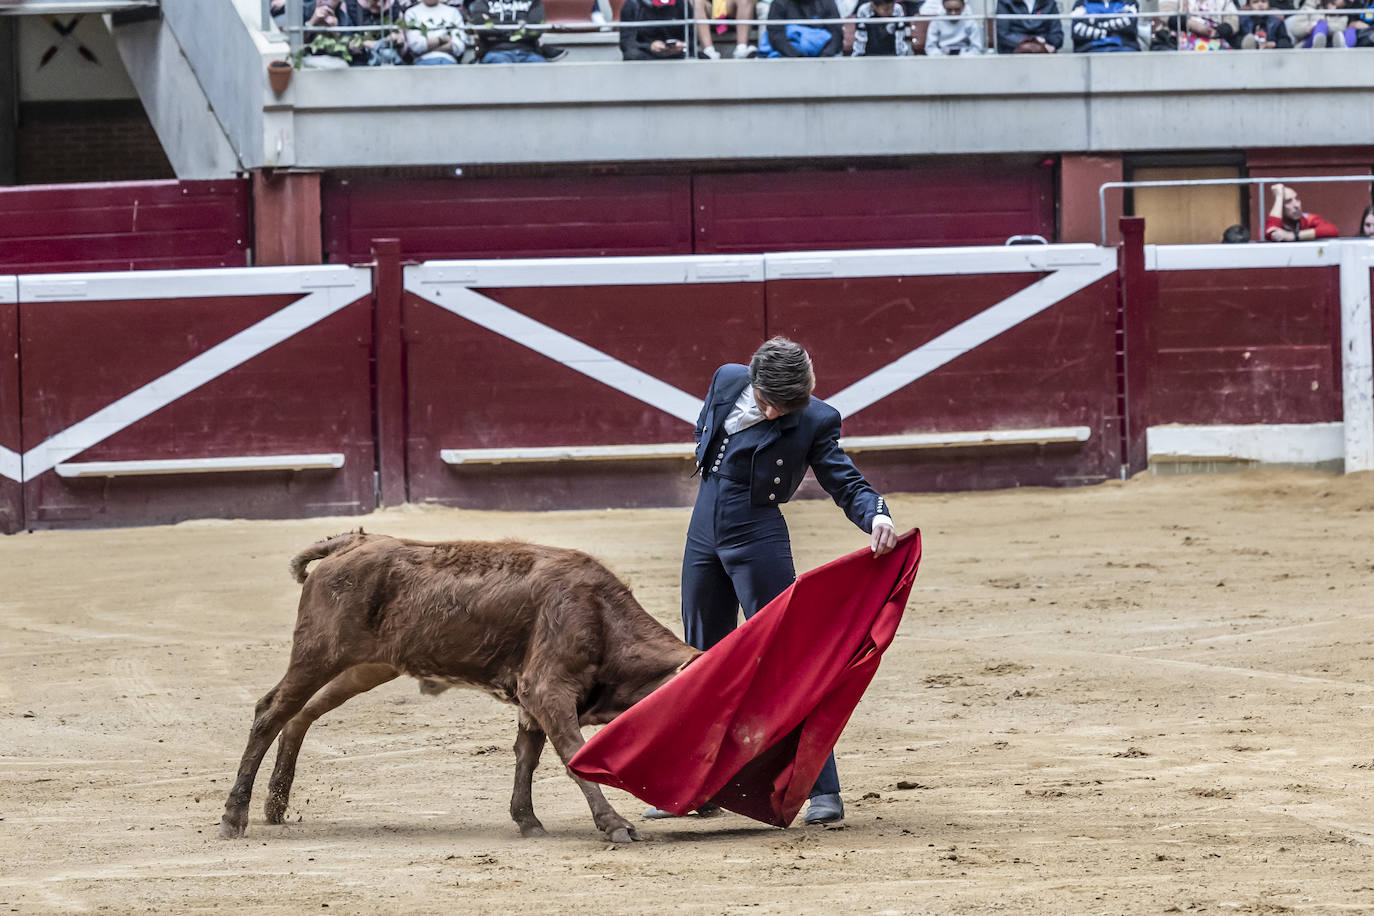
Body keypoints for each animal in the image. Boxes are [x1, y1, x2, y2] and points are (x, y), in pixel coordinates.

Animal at [225, 530, 703, 845]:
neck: (603, 616)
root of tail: (351, 543)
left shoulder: (532, 702)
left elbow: (527, 757)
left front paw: (527, 820)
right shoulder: (546, 690)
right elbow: (574, 756)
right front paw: (614, 823)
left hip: (366, 666)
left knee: (299, 715)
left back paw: (275, 806)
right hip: (319, 653)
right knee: (270, 711)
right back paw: (235, 816)